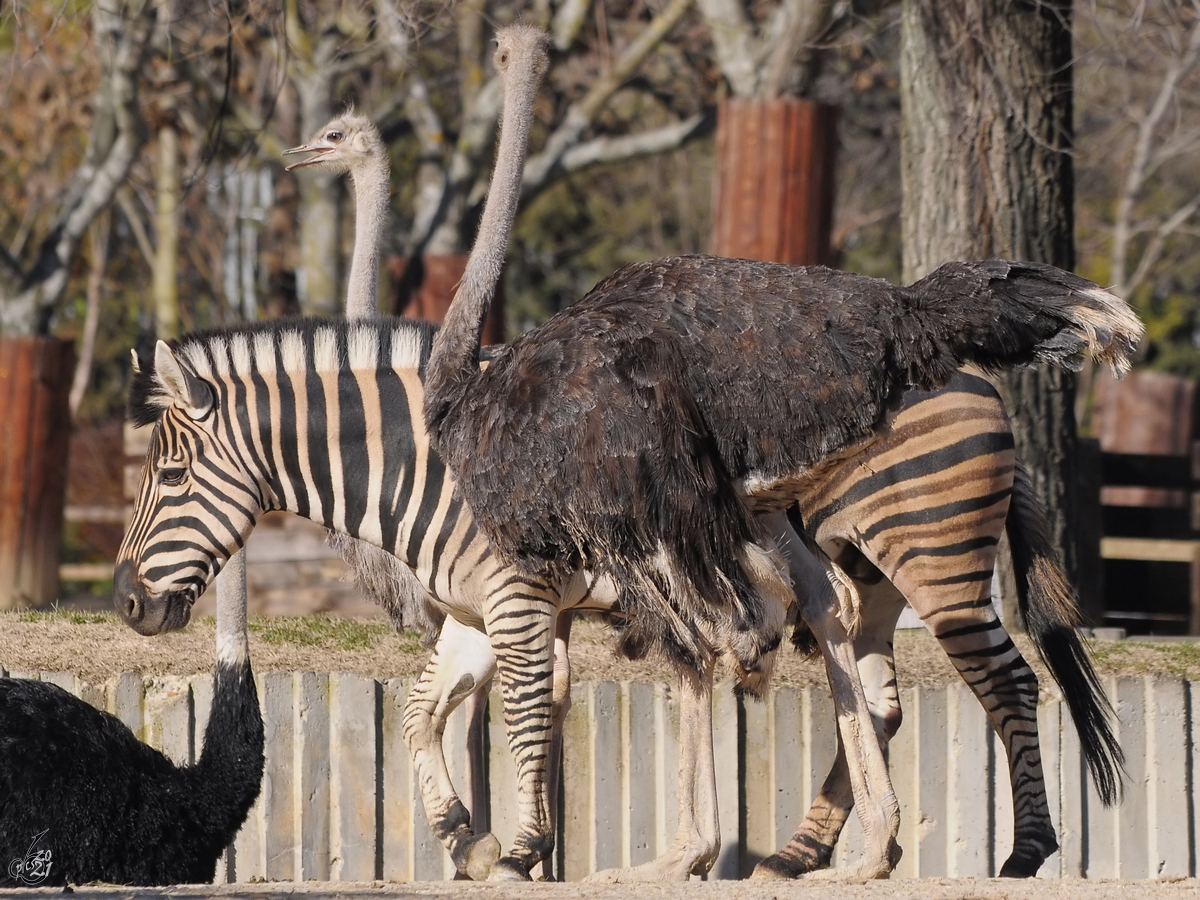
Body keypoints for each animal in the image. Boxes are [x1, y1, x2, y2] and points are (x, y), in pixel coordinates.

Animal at [117, 316, 1118, 883]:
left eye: (168, 477)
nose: (126, 605)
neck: (435, 459)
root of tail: (976, 375)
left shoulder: (519, 600)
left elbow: (524, 714)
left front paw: (523, 849)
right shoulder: (474, 615)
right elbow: (415, 713)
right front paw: (464, 837)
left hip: (933, 558)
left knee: (1009, 684)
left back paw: (1024, 852)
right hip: (868, 579)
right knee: (877, 695)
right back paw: (820, 853)